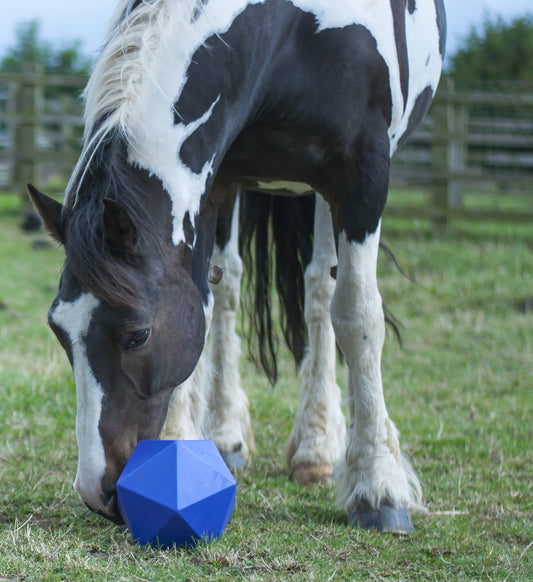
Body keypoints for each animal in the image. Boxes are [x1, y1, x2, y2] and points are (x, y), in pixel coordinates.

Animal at [29, 0, 444, 536]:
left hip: (325, 194)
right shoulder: (215, 177)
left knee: (322, 290)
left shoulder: (363, 172)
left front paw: (378, 485)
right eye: (59, 331)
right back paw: (228, 436)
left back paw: (317, 447)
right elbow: (202, 304)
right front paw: (181, 456)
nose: (96, 493)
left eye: (137, 335)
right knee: (229, 290)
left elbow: (358, 316)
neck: (294, 31)